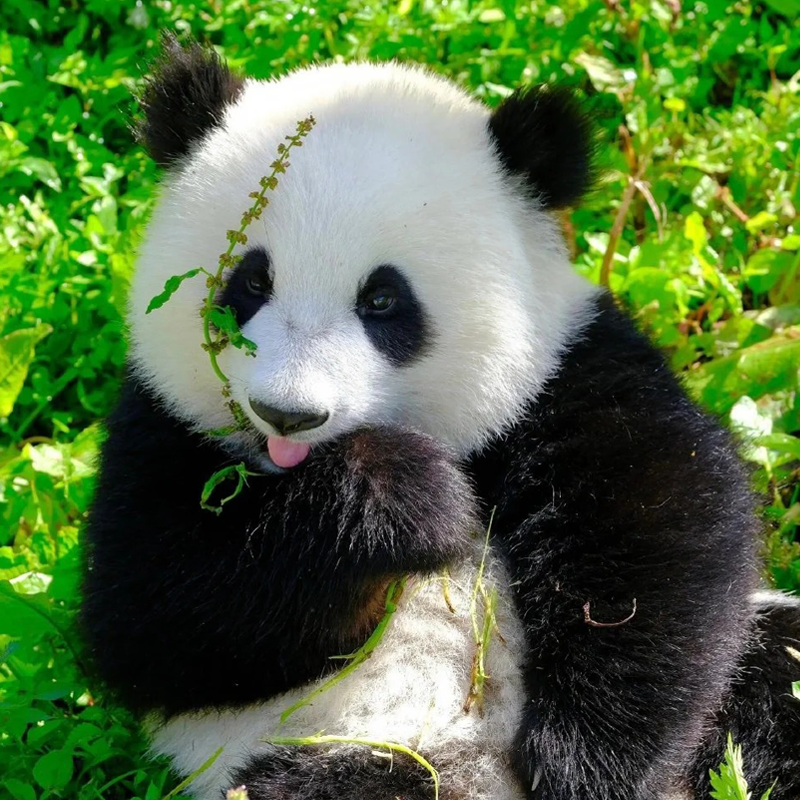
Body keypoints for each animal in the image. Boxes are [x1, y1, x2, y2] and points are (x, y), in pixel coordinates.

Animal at [81, 36, 800, 800]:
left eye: (383, 300)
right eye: (250, 282)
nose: (287, 414)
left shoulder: (567, 374)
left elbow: (664, 529)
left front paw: (587, 765)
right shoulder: (158, 425)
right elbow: (151, 617)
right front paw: (406, 500)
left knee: (775, 675)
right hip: (340, 752)